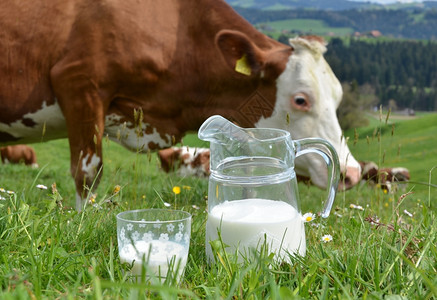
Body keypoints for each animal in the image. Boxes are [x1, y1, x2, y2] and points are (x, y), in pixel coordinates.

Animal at [0, 0, 362, 211]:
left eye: (338, 97)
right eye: (301, 99)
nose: (352, 172)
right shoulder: (79, 83)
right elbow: (87, 173)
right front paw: (81, 223)